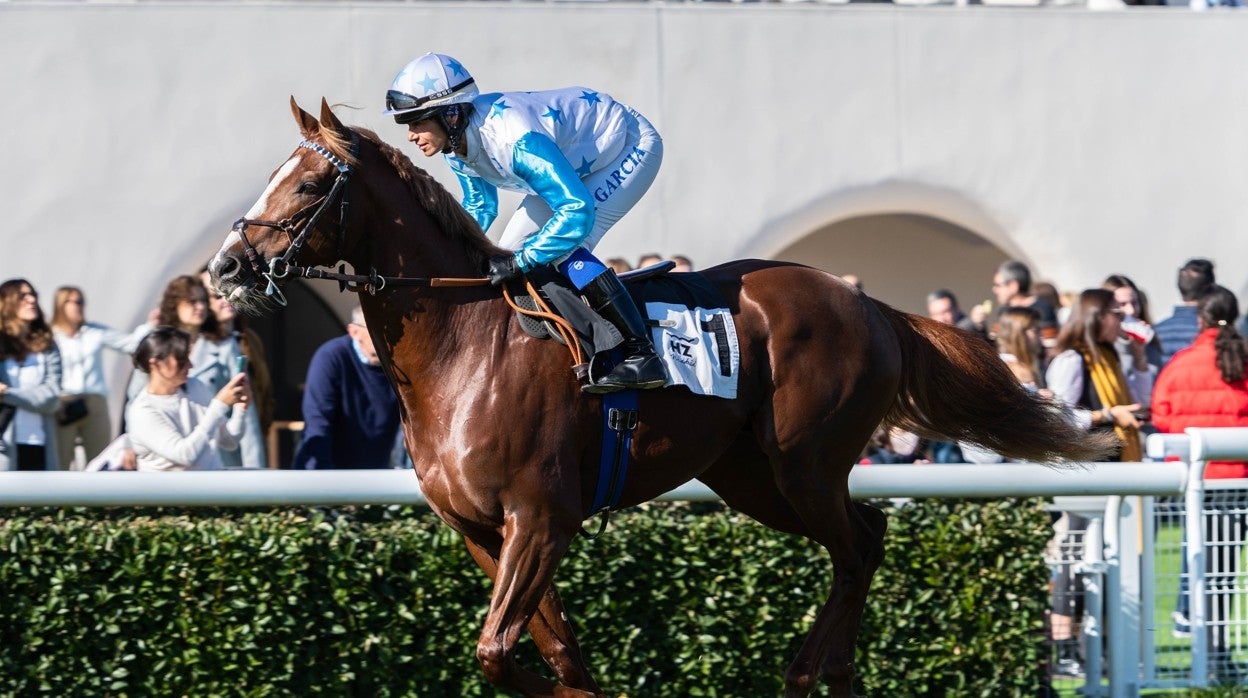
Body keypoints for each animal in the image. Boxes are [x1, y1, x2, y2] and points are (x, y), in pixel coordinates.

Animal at [212, 99, 1113, 698]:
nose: (225, 267)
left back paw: (810, 671)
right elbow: (552, 653)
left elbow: (499, 652)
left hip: (803, 462)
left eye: (306, 187)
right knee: (865, 535)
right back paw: (831, 671)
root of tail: (868, 302)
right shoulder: (481, 532)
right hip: (750, 477)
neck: (465, 346)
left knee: (858, 545)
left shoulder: (541, 518)